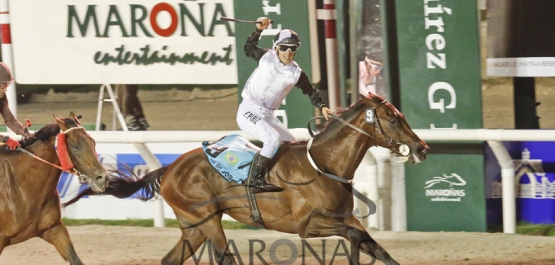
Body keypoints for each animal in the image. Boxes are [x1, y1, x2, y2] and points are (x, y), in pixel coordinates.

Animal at [65, 94, 430, 262]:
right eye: (393, 120)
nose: (422, 148)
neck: (324, 165)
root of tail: (169, 169)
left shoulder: (346, 218)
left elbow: (374, 246)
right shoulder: (308, 226)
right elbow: (355, 238)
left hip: (193, 225)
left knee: (171, 259)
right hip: (208, 219)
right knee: (223, 257)